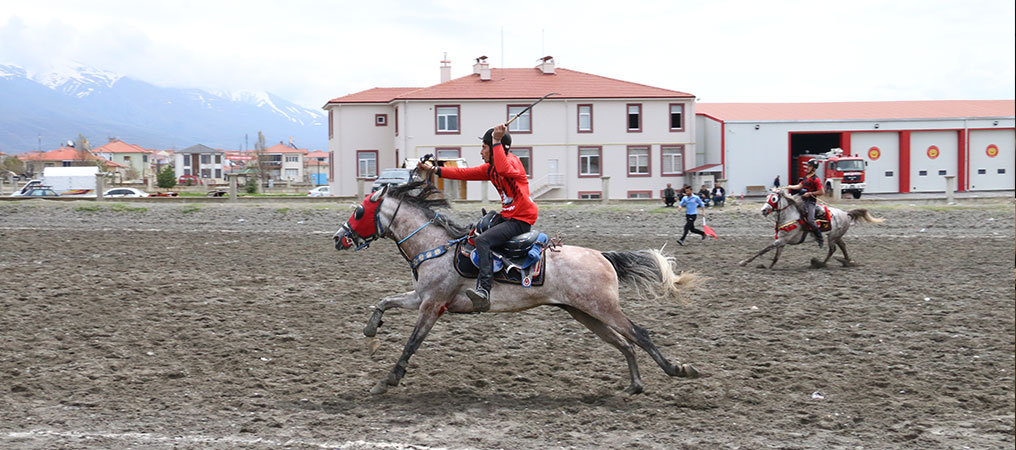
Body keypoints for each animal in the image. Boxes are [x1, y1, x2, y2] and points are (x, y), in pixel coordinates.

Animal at [333, 181, 699, 396]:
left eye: (359, 210)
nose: (338, 238)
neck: (435, 246)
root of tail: (602, 256)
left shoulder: (432, 306)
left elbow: (411, 343)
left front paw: (388, 380)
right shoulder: (420, 298)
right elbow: (385, 301)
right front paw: (371, 329)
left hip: (602, 308)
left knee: (640, 334)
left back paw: (678, 369)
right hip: (584, 312)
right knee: (624, 343)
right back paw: (635, 384)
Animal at [739, 188, 881, 270]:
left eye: (773, 198)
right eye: (766, 198)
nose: (763, 210)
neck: (790, 215)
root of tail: (846, 213)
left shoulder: (782, 240)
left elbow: (764, 249)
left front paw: (744, 262)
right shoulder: (782, 241)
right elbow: (776, 257)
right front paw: (769, 267)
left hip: (832, 237)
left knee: (832, 249)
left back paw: (821, 264)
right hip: (836, 236)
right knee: (842, 246)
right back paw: (847, 262)